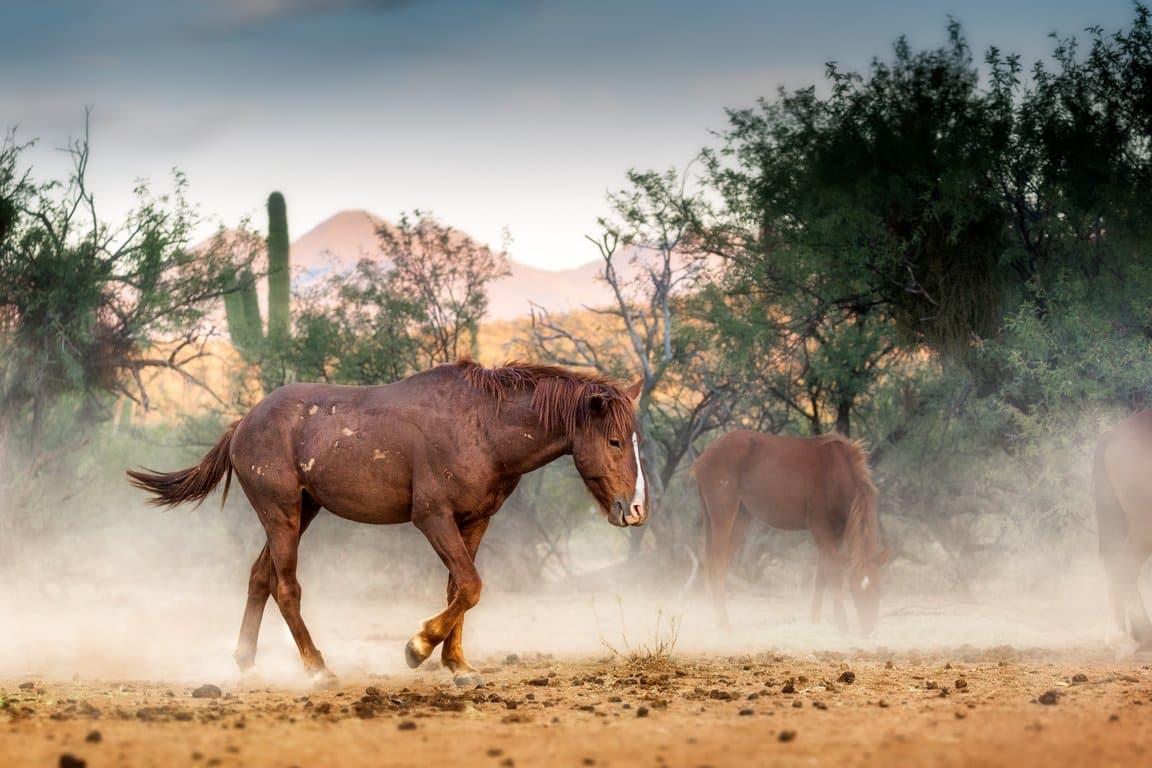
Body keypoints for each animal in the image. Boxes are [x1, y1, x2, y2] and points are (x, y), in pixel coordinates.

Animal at [127, 359, 649, 687]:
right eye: (615, 441)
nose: (635, 509)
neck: (481, 425)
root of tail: (243, 424)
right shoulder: (433, 519)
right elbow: (470, 586)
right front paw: (417, 648)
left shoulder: (474, 522)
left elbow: (460, 589)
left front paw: (458, 665)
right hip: (282, 515)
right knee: (285, 588)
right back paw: (318, 670)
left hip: (301, 513)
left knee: (259, 578)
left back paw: (247, 662)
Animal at [693, 429, 886, 634]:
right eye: (853, 589)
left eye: (879, 588)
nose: (868, 629)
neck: (836, 472)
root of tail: (701, 459)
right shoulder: (821, 529)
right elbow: (833, 572)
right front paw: (842, 623)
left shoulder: (836, 534)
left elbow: (821, 575)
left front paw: (815, 619)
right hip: (724, 515)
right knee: (716, 565)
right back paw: (725, 624)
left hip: (740, 517)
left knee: (721, 565)